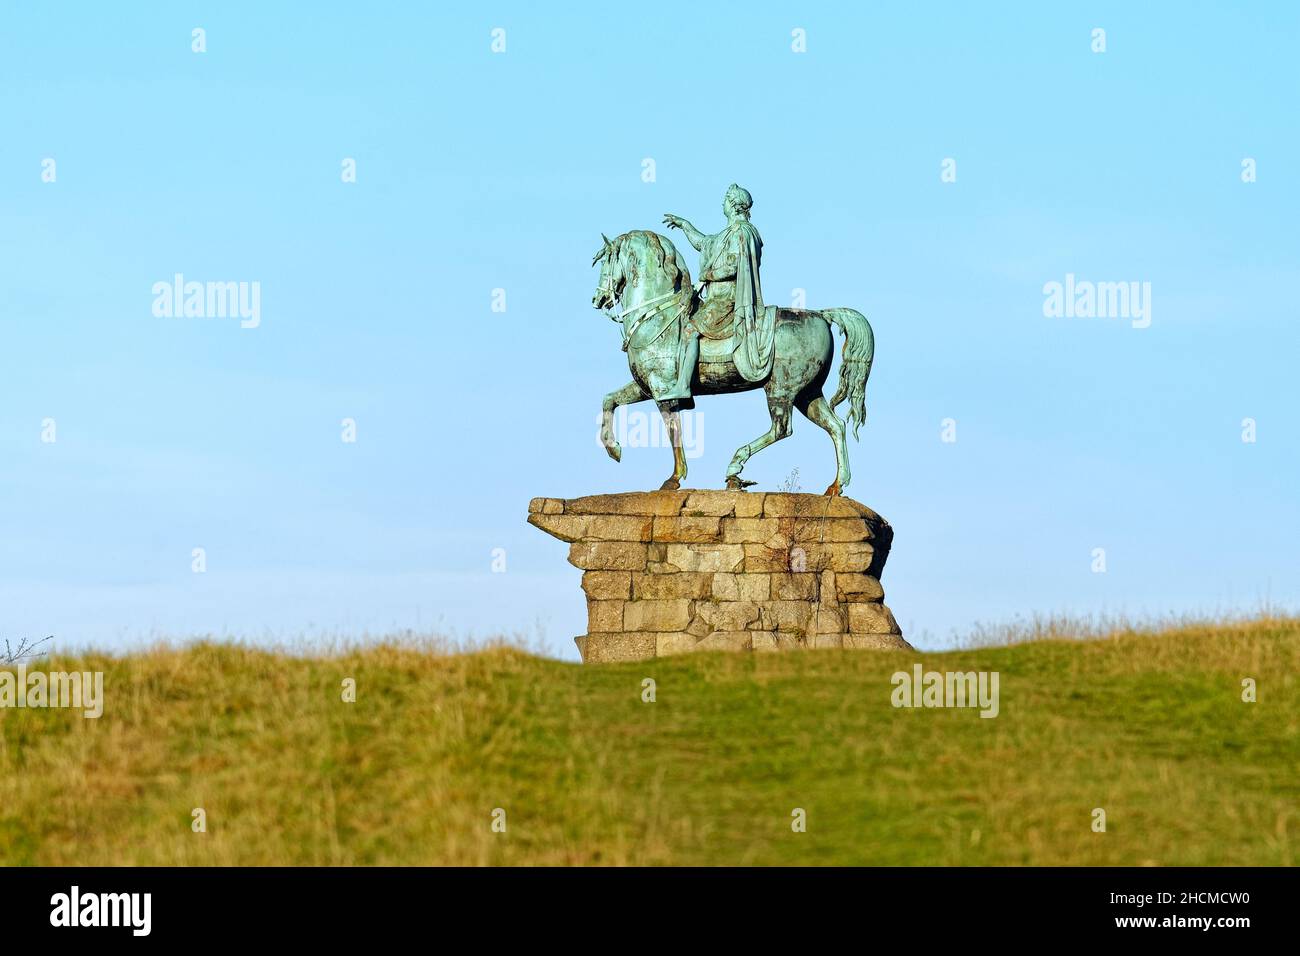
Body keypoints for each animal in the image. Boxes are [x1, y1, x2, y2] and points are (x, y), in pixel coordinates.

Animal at [595, 230, 878, 502]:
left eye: (606, 260)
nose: (597, 298)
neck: (656, 315)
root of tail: (821, 315)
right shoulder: (646, 387)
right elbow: (609, 400)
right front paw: (614, 449)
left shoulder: (664, 390)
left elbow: (674, 432)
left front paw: (674, 478)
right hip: (807, 394)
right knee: (835, 426)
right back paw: (836, 485)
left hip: (781, 389)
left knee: (782, 429)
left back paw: (735, 468)